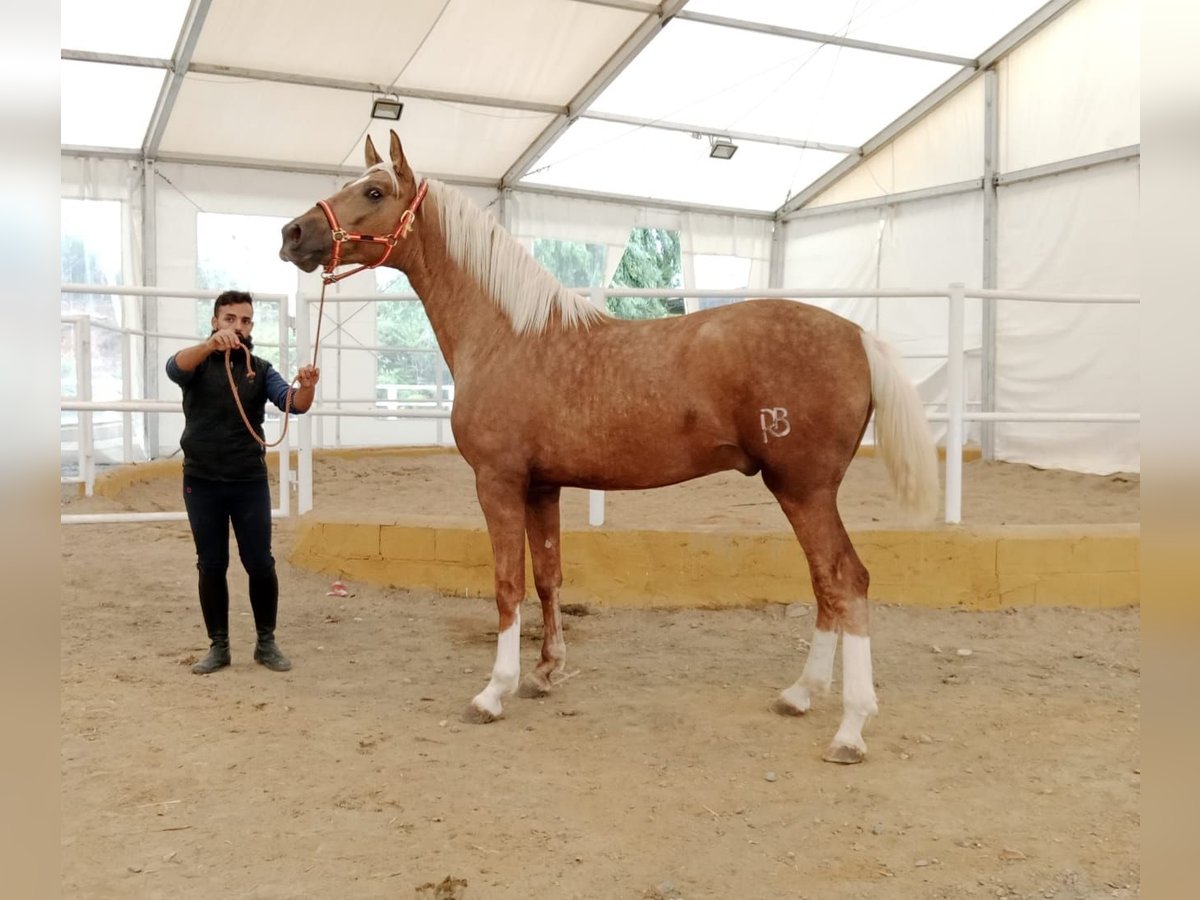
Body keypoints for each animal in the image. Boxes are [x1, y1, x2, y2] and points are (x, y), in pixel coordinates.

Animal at [280, 130, 936, 763]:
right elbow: (548, 578)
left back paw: (850, 729)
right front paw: (545, 672)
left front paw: (494, 691)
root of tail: (858, 335)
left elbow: (507, 584)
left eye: (373, 192)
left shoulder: (497, 482)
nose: (292, 234)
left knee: (846, 580)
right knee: (826, 583)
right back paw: (800, 694)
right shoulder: (543, 487)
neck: (507, 334)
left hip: (804, 489)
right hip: (801, 492)